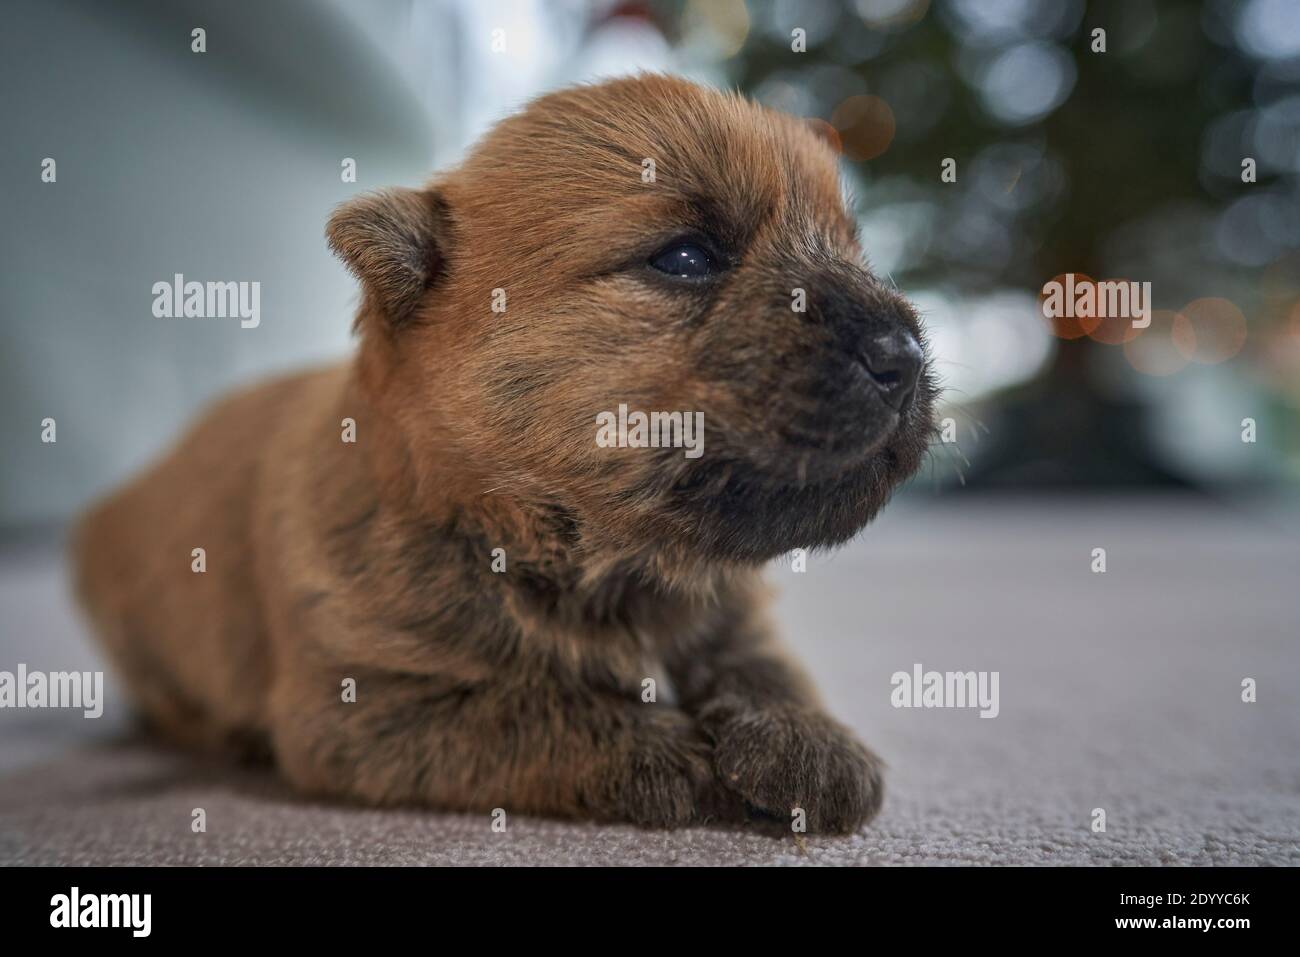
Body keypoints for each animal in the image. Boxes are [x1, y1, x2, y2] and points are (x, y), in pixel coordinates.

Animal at [73, 76, 935, 832]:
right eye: (686, 258)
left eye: (853, 248)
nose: (904, 354)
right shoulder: (362, 707)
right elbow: (530, 709)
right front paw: (668, 752)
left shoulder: (735, 610)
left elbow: (770, 666)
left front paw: (810, 744)